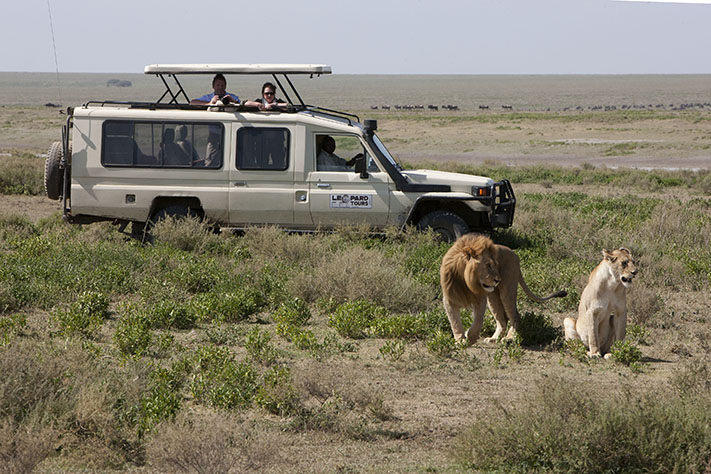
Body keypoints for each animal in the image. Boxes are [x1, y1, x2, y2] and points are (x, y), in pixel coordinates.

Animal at [440, 233, 568, 344]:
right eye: (488, 265)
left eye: (493, 264)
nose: (498, 280)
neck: (465, 281)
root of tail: (515, 255)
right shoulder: (449, 299)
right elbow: (455, 322)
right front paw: (460, 340)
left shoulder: (480, 299)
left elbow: (477, 322)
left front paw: (470, 337)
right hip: (493, 296)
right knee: (502, 319)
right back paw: (494, 338)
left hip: (507, 292)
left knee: (515, 316)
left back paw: (509, 338)